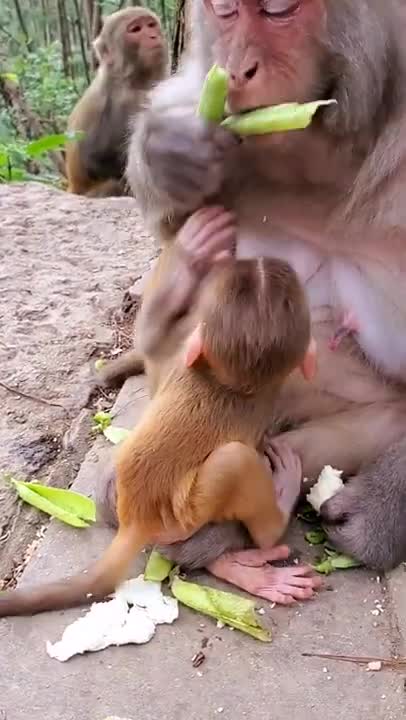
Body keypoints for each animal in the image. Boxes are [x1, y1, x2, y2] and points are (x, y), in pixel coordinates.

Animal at [0, 206, 322, 617]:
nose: (263, 259)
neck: (226, 381)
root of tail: (137, 520)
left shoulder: (184, 356)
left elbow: (152, 340)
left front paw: (193, 252)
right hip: (187, 514)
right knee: (236, 464)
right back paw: (271, 516)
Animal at [65, 7, 169, 198]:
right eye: (136, 30)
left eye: (151, 25)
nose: (153, 36)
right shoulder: (122, 100)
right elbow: (94, 157)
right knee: (113, 184)